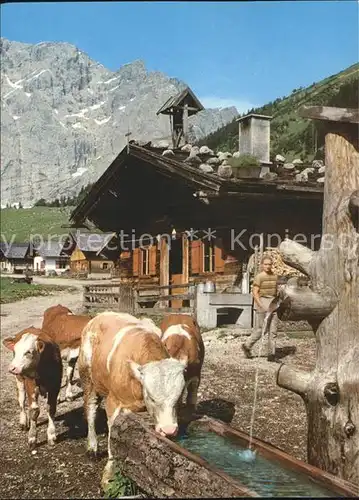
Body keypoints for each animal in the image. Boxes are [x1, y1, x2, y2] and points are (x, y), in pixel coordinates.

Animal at [77, 310, 187, 490]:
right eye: (151, 397)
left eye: (178, 397)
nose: (169, 430)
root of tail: (100, 316)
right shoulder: (114, 404)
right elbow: (112, 440)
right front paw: (108, 475)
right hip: (88, 378)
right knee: (91, 409)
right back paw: (92, 446)